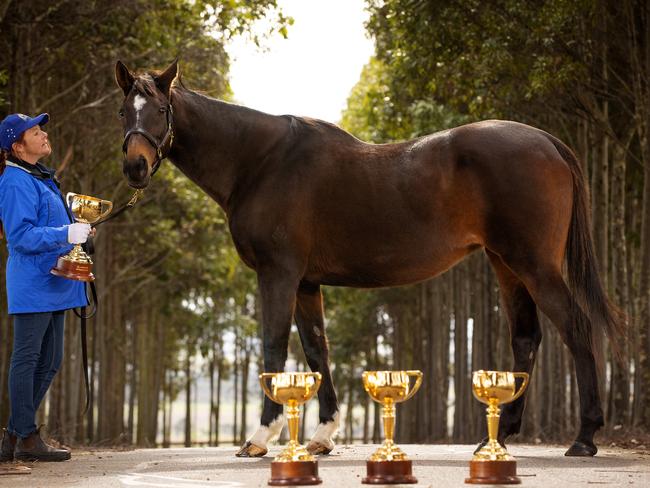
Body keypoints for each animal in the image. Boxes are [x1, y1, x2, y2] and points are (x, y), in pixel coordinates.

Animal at [115, 60, 624, 458]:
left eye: (161, 110)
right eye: (123, 111)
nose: (135, 167)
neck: (260, 162)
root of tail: (546, 141)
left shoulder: (278, 273)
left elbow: (275, 344)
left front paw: (261, 436)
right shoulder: (306, 281)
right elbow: (316, 348)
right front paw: (323, 435)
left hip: (534, 263)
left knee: (576, 328)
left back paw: (584, 438)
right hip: (506, 262)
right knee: (526, 337)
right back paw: (499, 436)